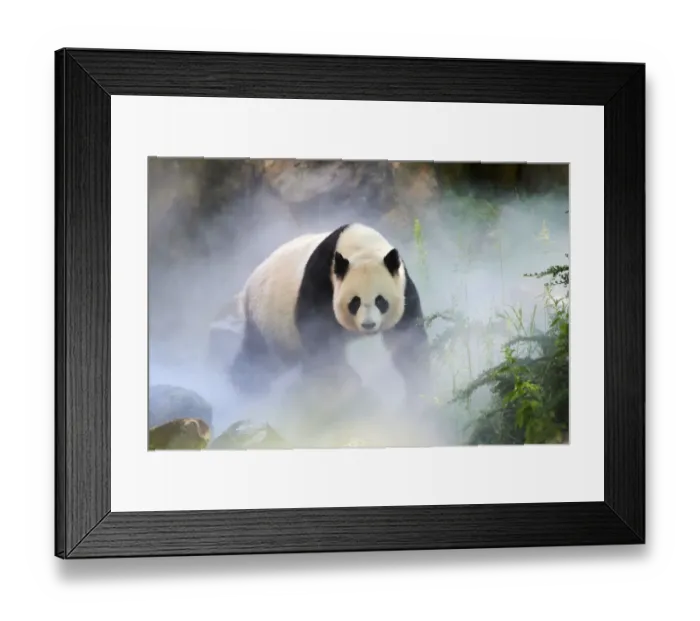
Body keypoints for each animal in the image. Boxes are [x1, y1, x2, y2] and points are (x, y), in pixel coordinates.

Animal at [221, 222, 432, 401]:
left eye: (380, 301)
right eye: (354, 302)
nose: (368, 325)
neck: (360, 247)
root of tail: (246, 289)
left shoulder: (403, 287)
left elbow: (407, 339)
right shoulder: (320, 282)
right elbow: (319, 337)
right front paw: (342, 381)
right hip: (265, 318)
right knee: (259, 354)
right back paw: (248, 384)